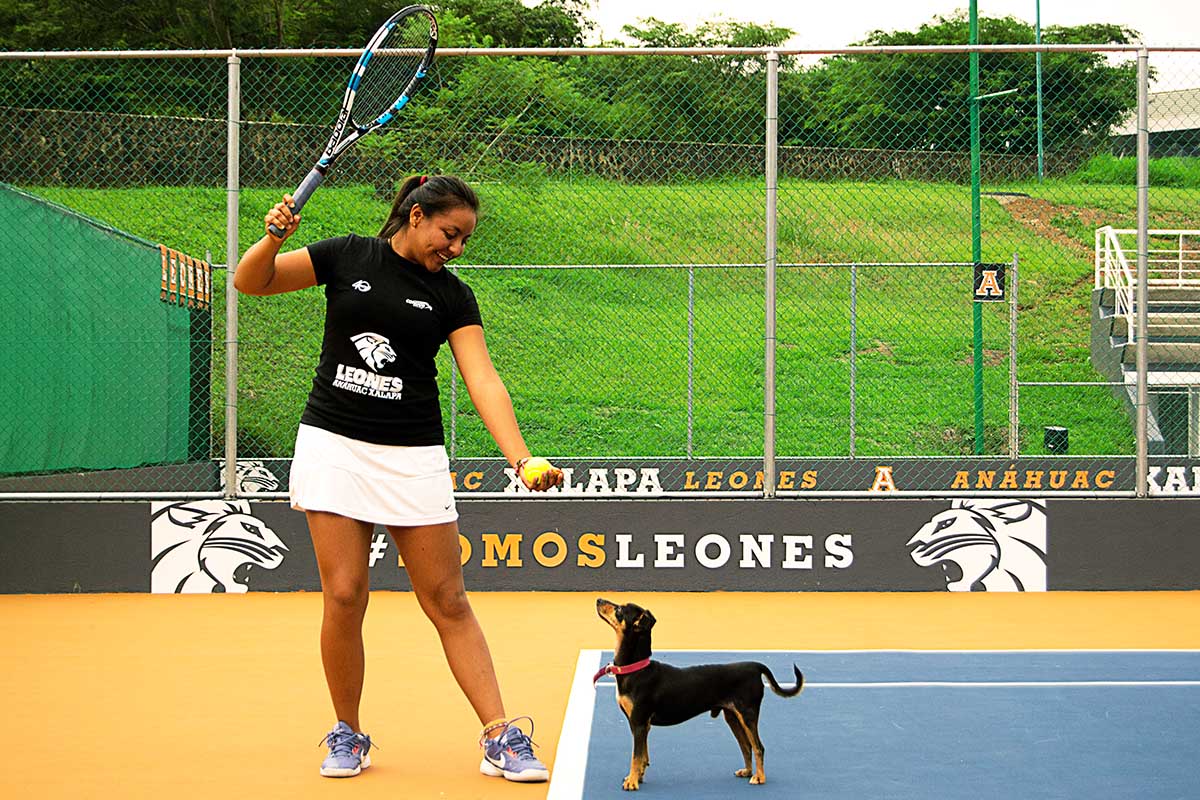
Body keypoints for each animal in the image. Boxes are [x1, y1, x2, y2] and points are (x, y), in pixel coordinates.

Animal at [592, 597, 801, 791]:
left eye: (619, 610)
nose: (599, 600)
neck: (636, 669)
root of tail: (755, 666)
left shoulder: (639, 723)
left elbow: (636, 756)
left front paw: (632, 782)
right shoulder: (640, 724)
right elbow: (643, 755)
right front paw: (637, 777)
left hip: (748, 715)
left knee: (758, 747)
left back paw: (759, 778)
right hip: (733, 717)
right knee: (746, 746)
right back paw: (748, 771)